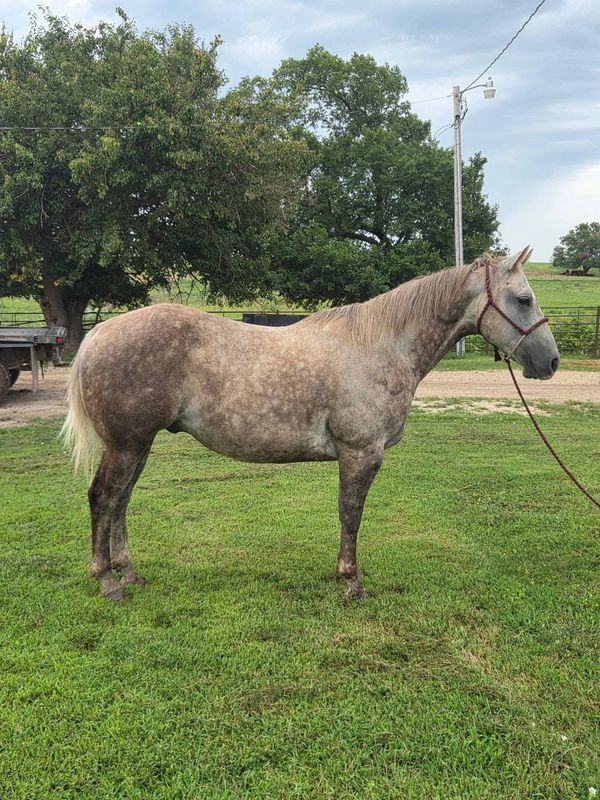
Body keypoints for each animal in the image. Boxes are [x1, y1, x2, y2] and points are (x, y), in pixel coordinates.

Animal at [62, 247, 559, 601]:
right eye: (523, 299)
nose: (551, 362)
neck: (380, 347)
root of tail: (98, 334)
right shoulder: (360, 453)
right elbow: (351, 514)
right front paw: (351, 582)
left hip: (138, 445)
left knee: (121, 503)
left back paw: (130, 574)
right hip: (126, 444)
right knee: (103, 499)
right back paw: (108, 582)